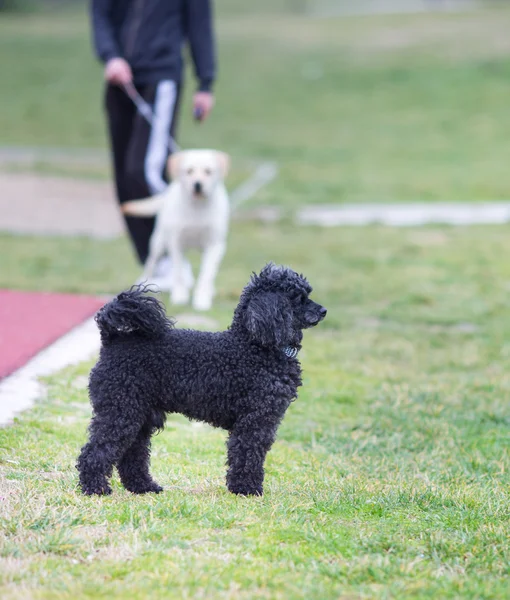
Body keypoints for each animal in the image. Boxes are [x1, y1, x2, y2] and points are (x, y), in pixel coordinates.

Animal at [122, 149, 230, 312]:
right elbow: (178, 273)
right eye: (189, 171)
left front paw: (202, 298)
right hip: (159, 243)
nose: (197, 185)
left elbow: (207, 273)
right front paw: (180, 296)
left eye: (208, 171)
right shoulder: (176, 243)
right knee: (152, 264)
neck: (197, 207)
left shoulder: (214, 245)